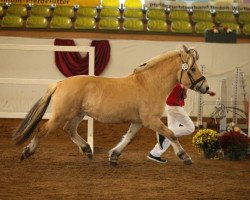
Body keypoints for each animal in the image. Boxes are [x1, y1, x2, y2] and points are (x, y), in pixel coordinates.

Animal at [13, 45, 209, 166]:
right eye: (192, 69)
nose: (206, 87)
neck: (149, 84)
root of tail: (60, 83)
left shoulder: (138, 121)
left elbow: (128, 138)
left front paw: (114, 156)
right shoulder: (150, 120)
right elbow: (171, 134)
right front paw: (185, 157)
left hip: (78, 114)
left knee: (69, 130)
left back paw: (87, 150)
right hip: (61, 114)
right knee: (42, 130)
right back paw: (27, 152)